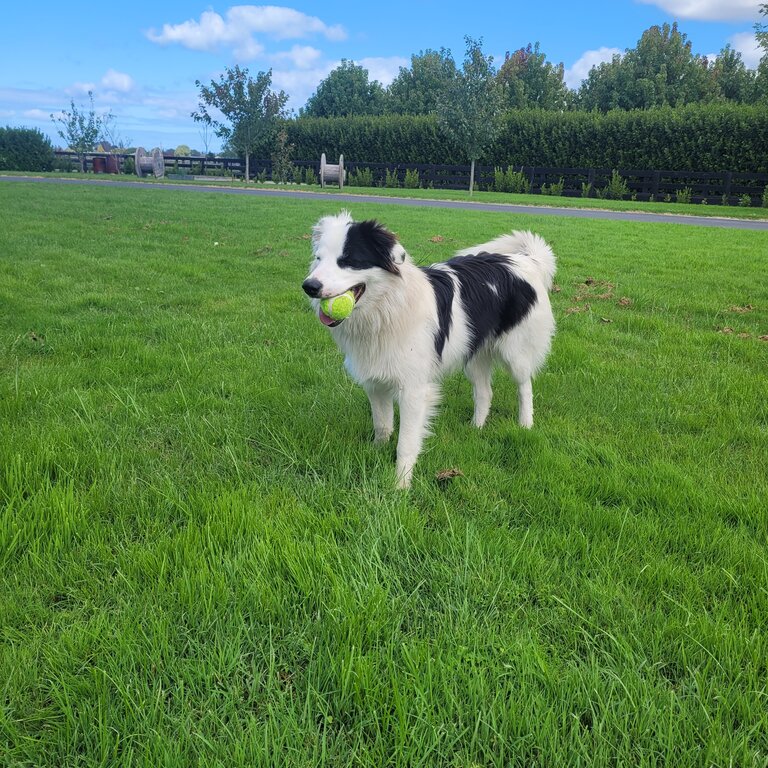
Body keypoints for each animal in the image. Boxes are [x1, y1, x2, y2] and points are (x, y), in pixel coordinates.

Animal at [302, 212, 560, 486]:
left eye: (348, 260)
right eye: (318, 258)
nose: (309, 286)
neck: (387, 308)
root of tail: (526, 260)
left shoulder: (414, 390)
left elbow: (405, 442)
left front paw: (400, 485)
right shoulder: (375, 382)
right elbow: (382, 425)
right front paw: (376, 453)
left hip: (516, 352)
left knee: (525, 387)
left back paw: (525, 424)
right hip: (474, 355)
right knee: (484, 392)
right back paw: (476, 428)